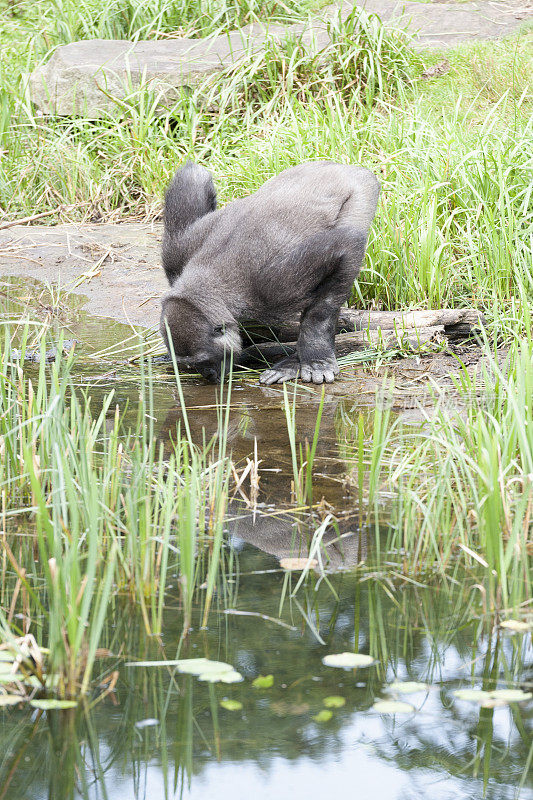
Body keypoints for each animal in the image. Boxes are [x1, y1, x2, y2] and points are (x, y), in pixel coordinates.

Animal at [158, 160, 378, 384]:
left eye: (204, 361)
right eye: (192, 364)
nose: (209, 375)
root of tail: (344, 167)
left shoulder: (273, 288)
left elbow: (346, 248)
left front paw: (316, 355)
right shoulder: (178, 253)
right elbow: (194, 176)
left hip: (363, 190)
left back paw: (294, 363)